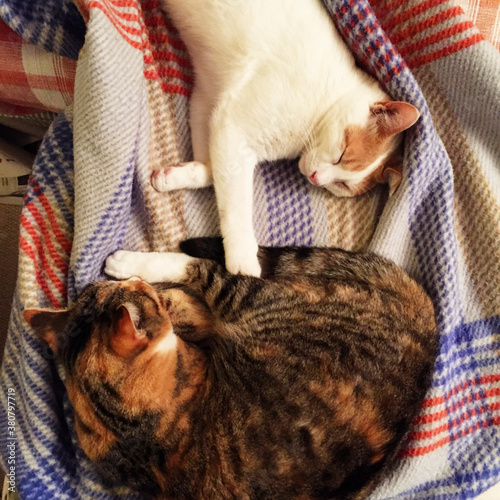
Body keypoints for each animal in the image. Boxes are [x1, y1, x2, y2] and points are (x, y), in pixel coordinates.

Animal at [24, 240, 438, 498]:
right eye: (139, 291)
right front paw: (163, 293)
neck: (126, 429)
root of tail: (428, 327)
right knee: (209, 270)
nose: (139, 284)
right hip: (252, 295)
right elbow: (186, 298)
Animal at [154, 0, 420, 278]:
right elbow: (237, 205)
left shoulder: (208, 102)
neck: (325, 101)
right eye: (342, 154)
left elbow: (210, 172)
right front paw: (243, 261)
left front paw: (174, 176)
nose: (316, 179)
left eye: (342, 186)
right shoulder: (232, 127)